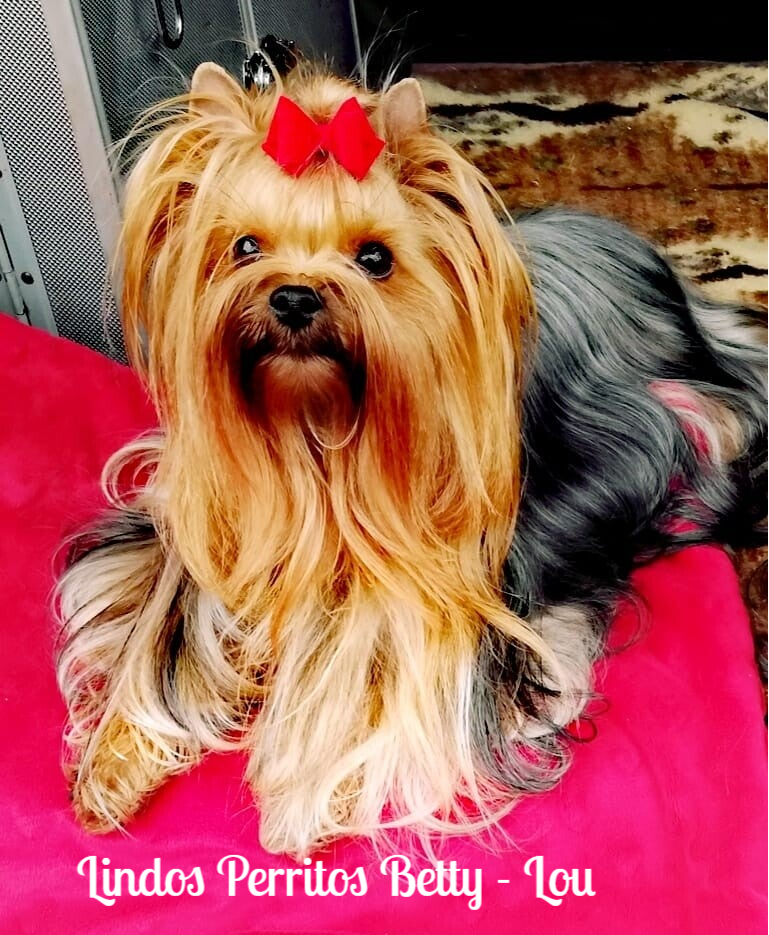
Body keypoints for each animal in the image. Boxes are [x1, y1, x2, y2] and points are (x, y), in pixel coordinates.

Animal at [56, 60, 768, 858]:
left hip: (689, 406)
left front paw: (308, 799)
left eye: (375, 259)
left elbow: (397, 695)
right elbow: (155, 645)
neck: (317, 435)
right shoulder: (199, 549)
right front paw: (110, 767)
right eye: (244, 247)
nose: (294, 296)